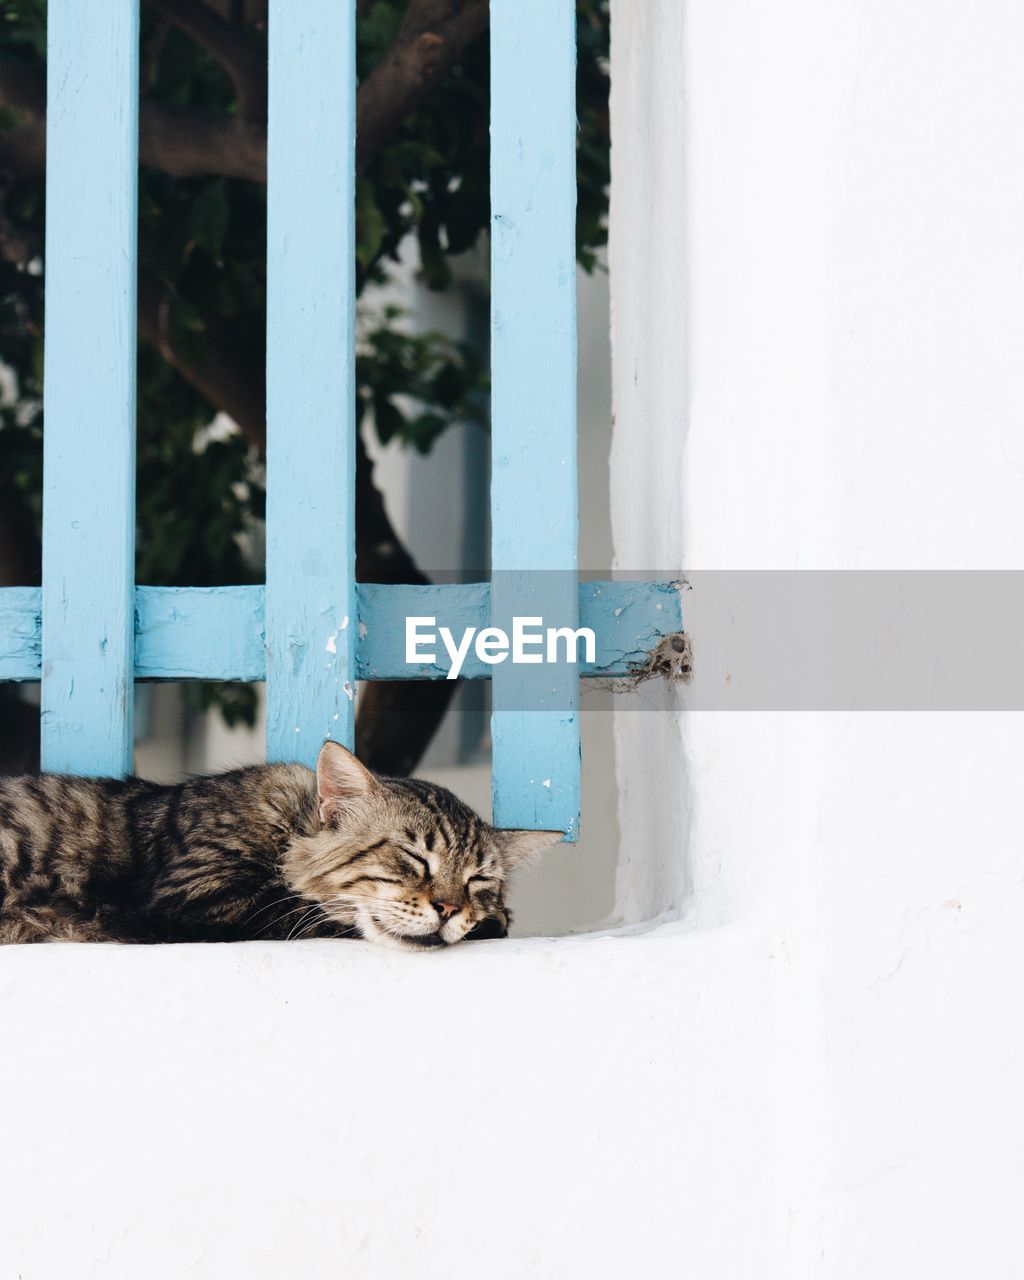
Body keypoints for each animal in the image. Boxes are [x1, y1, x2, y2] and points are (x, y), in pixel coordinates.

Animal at [0, 742, 560, 952]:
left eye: (478, 880)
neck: (289, 827)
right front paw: (492, 923)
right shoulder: (200, 897)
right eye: (414, 857)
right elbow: (309, 912)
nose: (448, 908)